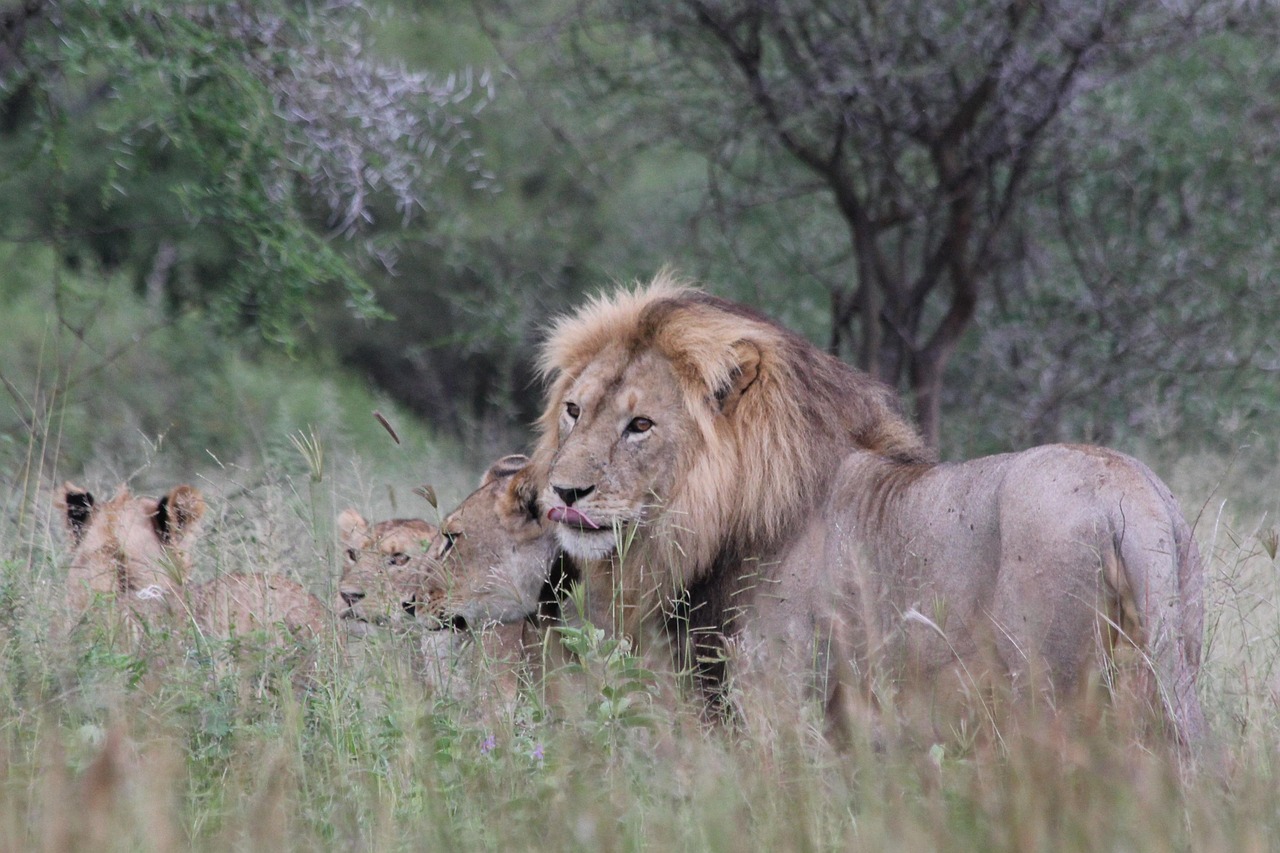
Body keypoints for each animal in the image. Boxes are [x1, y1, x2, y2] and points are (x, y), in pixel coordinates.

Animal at [529, 273, 1207, 746]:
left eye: (640, 425)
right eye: (574, 411)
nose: (561, 493)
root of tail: (1130, 493)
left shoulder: (780, 696)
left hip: (1047, 689)